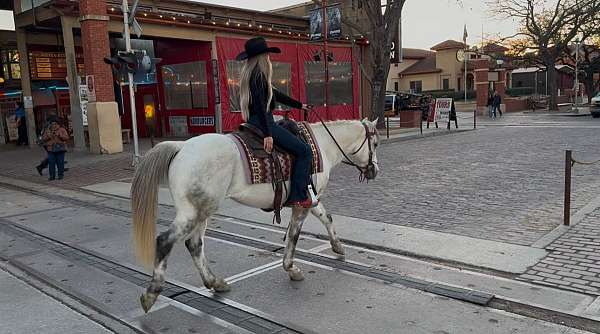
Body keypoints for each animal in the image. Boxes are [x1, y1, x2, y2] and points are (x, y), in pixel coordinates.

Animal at [134, 118, 382, 314]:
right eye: (376, 143)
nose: (375, 171)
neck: (322, 144)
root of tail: (182, 146)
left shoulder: (310, 199)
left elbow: (326, 217)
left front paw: (337, 246)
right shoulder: (302, 203)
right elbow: (294, 236)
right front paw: (291, 268)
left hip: (201, 211)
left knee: (194, 244)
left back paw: (215, 282)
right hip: (193, 213)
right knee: (165, 241)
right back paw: (151, 294)